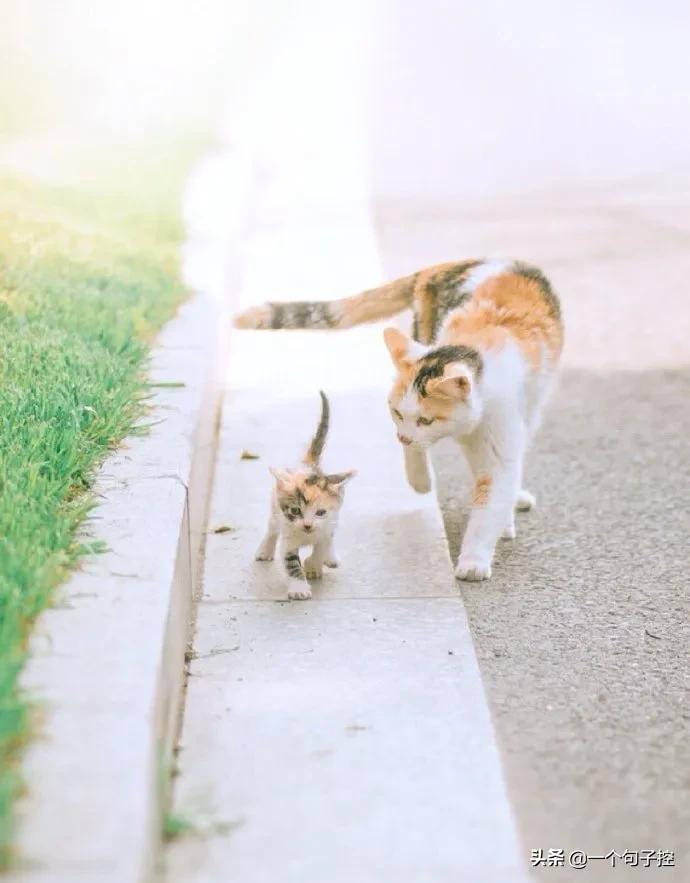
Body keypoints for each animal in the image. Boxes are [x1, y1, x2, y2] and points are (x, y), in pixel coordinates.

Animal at [255, 392, 358, 600]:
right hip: (274, 510)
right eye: (295, 511)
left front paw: (313, 566)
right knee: (271, 529)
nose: (307, 525)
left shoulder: (327, 526)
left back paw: (330, 558)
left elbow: (322, 546)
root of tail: (307, 465)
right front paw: (299, 588)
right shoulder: (288, 537)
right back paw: (265, 549)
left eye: (320, 512)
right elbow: (291, 563)